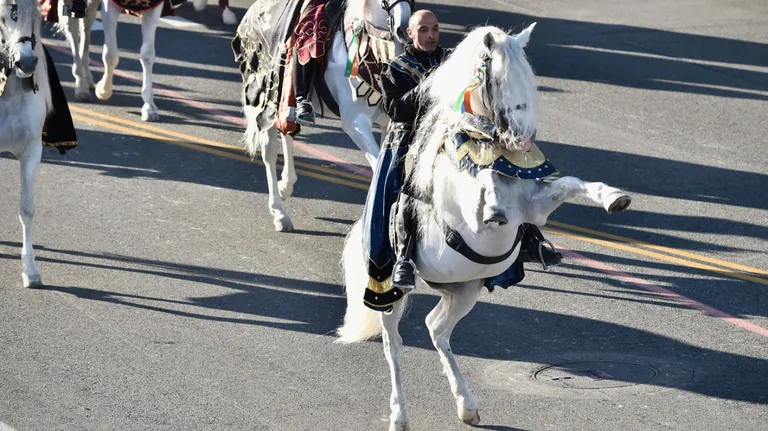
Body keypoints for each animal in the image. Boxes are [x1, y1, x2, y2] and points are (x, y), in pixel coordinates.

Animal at [236, 0, 412, 233]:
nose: (404, 29)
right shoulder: (355, 122)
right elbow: (376, 168)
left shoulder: (389, 122)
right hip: (267, 99)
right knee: (270, 151)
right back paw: (279, 212)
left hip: (285, 97)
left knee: (288, 131)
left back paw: (286, 185)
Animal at [334, 25, 632, 430]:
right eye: (499, 79)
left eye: (530, 77)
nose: (523, 138)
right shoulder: (472, 219)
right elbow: (485, 179)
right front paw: (493, 203)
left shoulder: (535, 210)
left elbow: (571, 183)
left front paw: (614, 198)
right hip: (388, 291)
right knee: (392, 344)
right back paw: (399, 414)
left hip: (463, 289)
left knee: (436, 328)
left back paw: (467, 404)